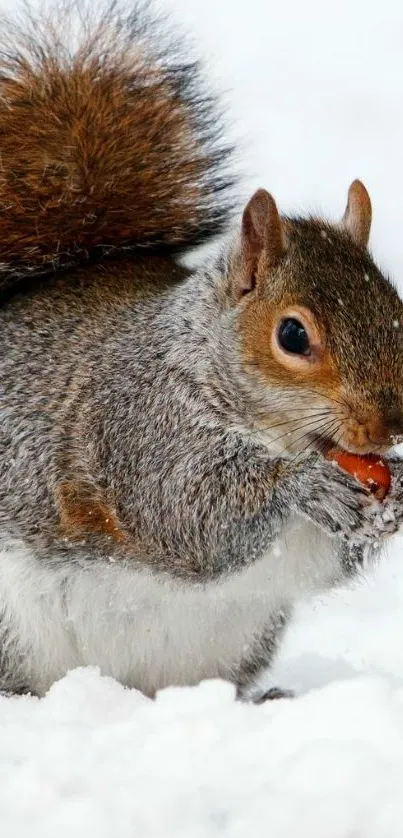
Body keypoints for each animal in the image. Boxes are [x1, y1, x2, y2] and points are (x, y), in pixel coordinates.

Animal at [0, 1, 403, 704]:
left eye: (399, 311)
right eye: (292, 335)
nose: (389, 428)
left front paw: (400, 496)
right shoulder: (137, 428)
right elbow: (189, 514)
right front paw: (305, 485)